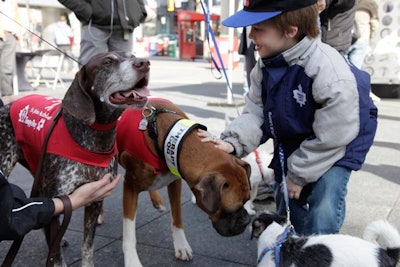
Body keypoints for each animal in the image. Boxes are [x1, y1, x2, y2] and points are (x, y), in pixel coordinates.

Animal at [115, 97, 250, 266]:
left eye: (247, 201)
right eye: (230, 210)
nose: (246, 221)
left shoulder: (175, 181)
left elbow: (177, 217)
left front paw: (181, 246)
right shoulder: (130, 186)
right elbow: (129, 230)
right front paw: (132, 260)